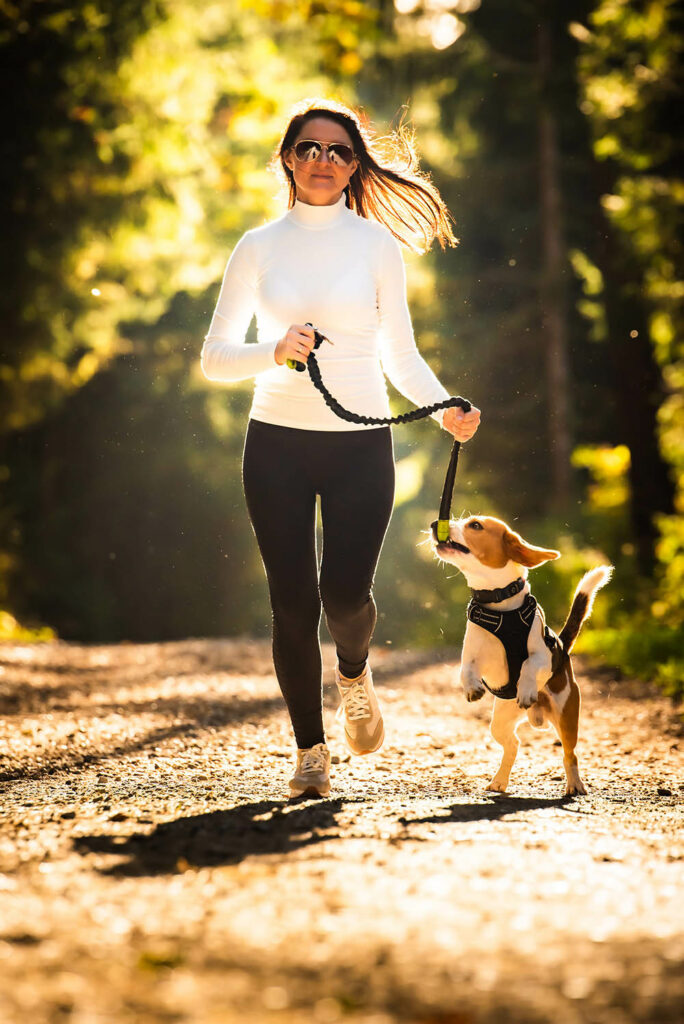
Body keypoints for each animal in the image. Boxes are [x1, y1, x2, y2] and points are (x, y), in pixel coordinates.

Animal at [428, 516, 614, 794]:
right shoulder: (471, 655)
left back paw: (575, 784)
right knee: (513, 744)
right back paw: (499, 780)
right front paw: (472, 687)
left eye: (475, 525)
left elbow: (527, 664)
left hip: (567, 716)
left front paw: (525, 689)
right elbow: (466, 670)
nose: (433, 524)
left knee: (570, 754)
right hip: (500, 722)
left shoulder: (542, 656)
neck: (499, 605)